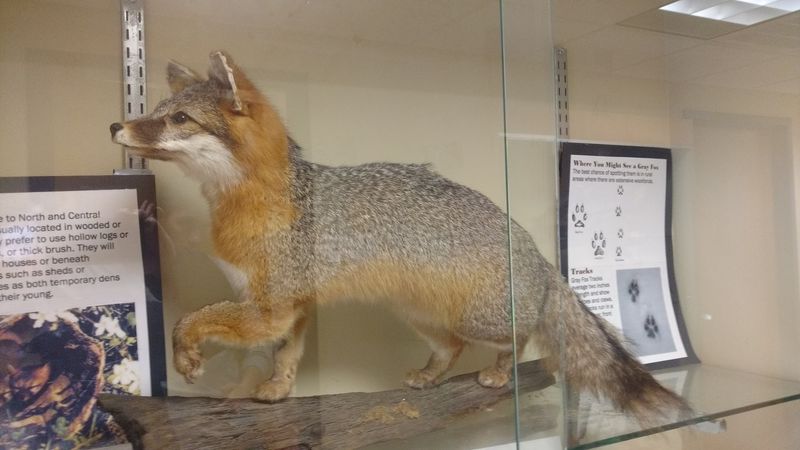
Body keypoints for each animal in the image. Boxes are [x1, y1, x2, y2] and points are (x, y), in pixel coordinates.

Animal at [109, 51, 689, 421]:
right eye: (155, 112)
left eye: (179, 119)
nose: (116, 126)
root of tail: (535, 251)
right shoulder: (294, 310)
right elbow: (286, 356)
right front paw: (275, 390)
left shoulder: (269, 307)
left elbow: (191, 318)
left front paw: (187, 357)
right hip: (420, 316)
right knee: (452, 348)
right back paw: (430, 379)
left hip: (480, 318)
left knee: (521, 337)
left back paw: (501, 373)